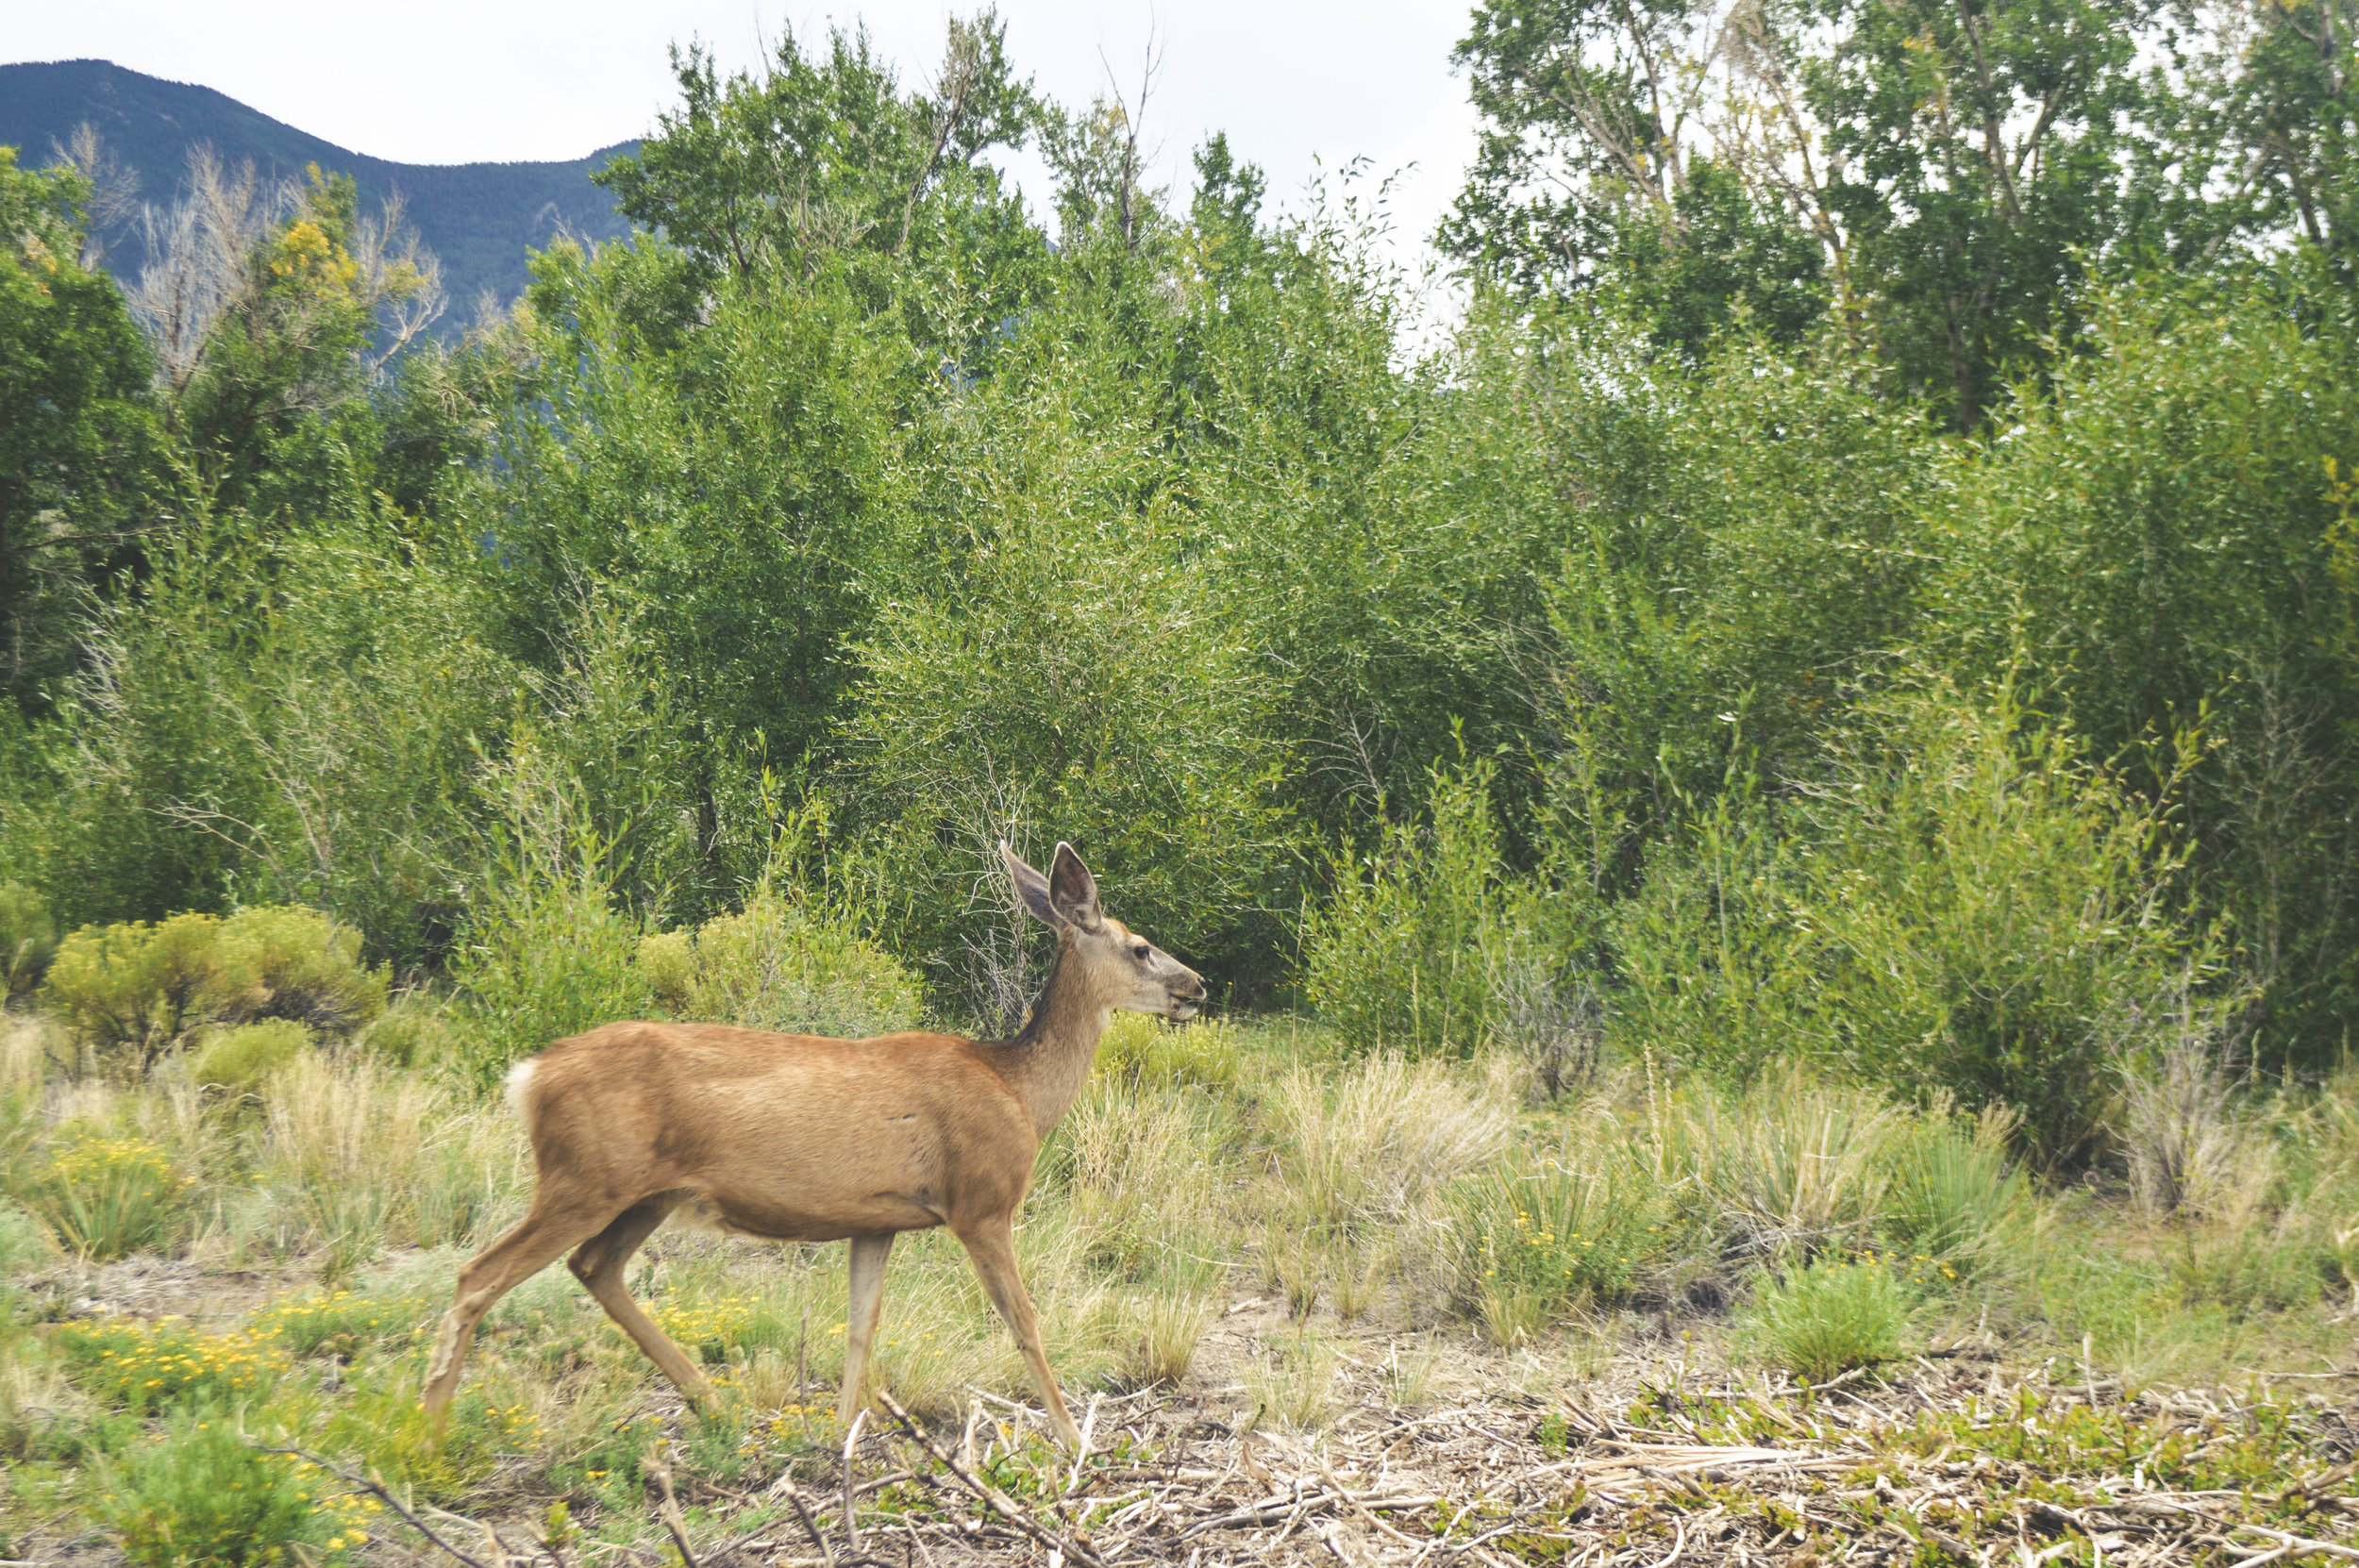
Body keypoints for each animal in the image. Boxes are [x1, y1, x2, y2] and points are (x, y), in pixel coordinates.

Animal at [415, 843, 1208, 1443]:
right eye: (1141, 947)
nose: (1196, 985)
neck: (1019, 1091)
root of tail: (530, 1075)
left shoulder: (879, 1220)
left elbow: (860, 1326)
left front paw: (841, 1433)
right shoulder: (980, 1201)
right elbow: (1025, 1322)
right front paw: (1075, 1440)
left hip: (646, 1193)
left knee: (593, 1267)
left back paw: (713, 1403)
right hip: (583, 1178)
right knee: (478, 1276)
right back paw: (430, 1433)